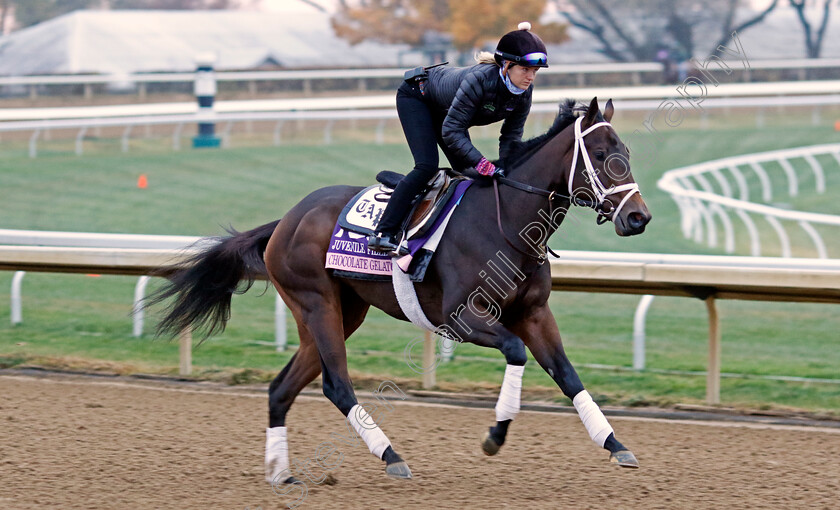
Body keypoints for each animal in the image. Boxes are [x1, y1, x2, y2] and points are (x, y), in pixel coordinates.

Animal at [148, 96, 652, 490]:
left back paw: (281, 472)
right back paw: (391, 456)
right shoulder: (461, 316)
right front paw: (495, 435)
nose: (639, 218)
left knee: (281, 388)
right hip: (316, 303)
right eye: (603, 154)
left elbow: (567, 375)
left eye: (626, 152)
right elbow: (516, 352)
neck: (507, 220)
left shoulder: (534, 313)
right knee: (336, 384)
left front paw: (615, 444)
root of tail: (286, 219)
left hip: (337, 313)